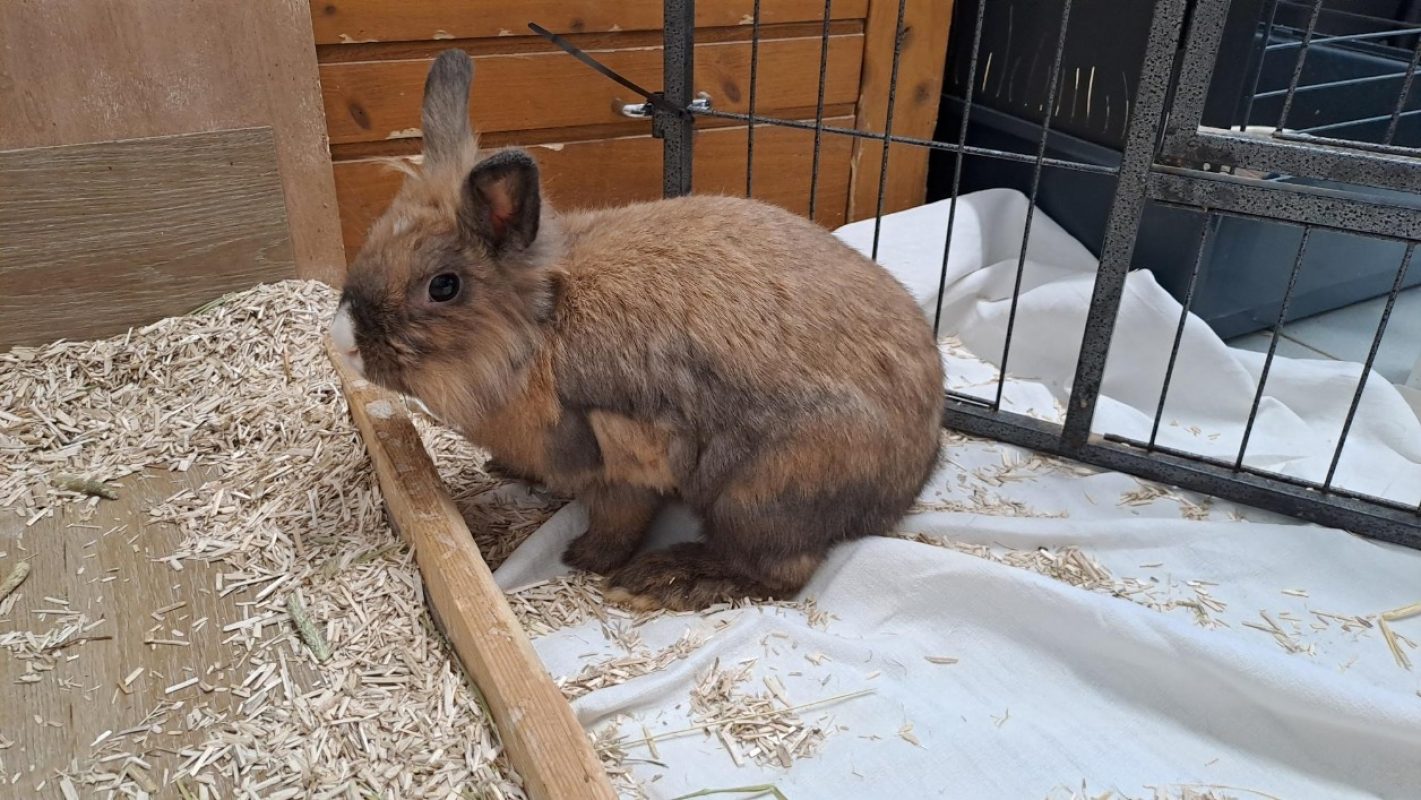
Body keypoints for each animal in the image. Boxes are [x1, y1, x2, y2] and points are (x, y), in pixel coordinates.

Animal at [330, 49, 944, 612]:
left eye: (443, 286)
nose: (343, 340)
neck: (540, 329)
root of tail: (910, 476)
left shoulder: (619, 457)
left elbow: (619, 518)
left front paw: (585, 559)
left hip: (760, 494)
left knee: (781, 571)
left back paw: (664, 579)